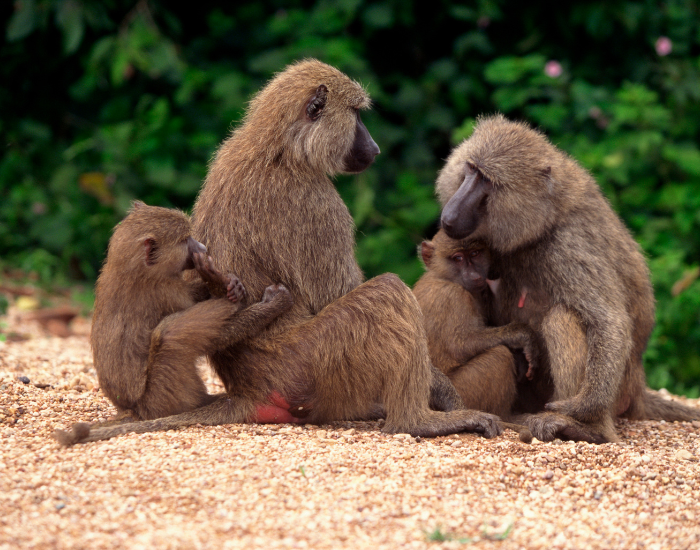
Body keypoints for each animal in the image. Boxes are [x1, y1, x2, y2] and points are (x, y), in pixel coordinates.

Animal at [54, 202, 294, 446]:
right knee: (169, 335)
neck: (134, 268)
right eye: (186, 240)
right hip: (161, 397)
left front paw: (224, 283)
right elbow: (216, 337)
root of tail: (133, 411)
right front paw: (267, 303)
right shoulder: (167, 292)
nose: (202, 247)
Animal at [436, 114, 700, 443]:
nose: (449, 216)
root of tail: (639, 384)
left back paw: (587, 428)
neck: (543, 218)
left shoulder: (568, 245)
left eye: (487, 180)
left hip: (620, 388)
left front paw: (584, 407)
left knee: (562, 318)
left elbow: (609, 322)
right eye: (470, 169)